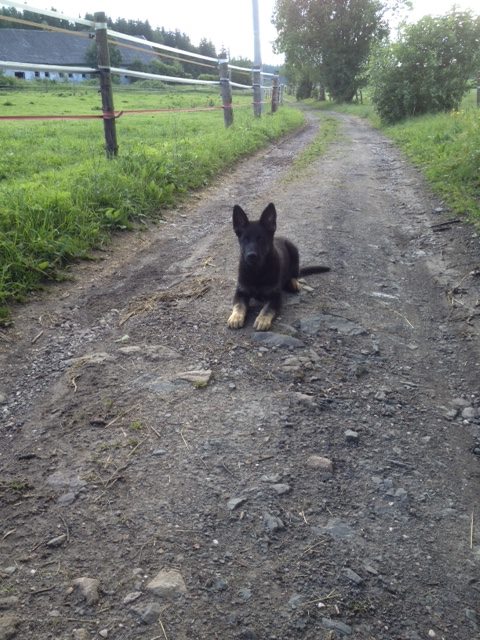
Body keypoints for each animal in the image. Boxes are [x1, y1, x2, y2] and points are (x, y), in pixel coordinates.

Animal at [227, 203, 330, 331]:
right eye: (245, 239)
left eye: (261, 239)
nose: (251, 256)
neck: (257, 271)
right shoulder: (240, 292)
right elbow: (239, 305)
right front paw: (235, 317)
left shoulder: (275, 296)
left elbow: (267, 308)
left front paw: (262, 319)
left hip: (294, 251)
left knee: (294, 275)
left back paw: (293, 283)